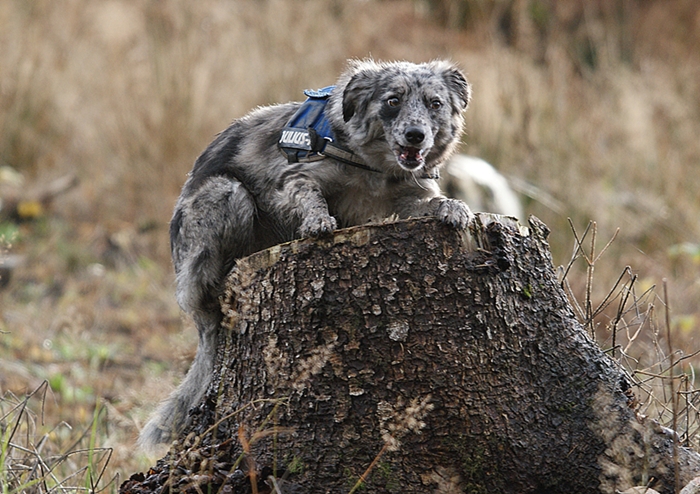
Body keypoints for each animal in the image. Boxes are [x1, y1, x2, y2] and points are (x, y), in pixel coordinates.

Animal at [137, 59, 476, 450]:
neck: (374, 168)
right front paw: (318, 222)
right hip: (227, 194)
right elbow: (309, 196)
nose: (416, 135)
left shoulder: (403, 200)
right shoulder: (294, 178)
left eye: (435, 104)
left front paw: (455, 208)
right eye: (393, 101)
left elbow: (432, 202)